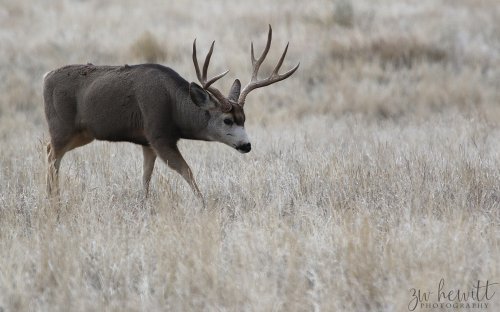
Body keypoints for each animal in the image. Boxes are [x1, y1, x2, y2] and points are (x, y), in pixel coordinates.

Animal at [43, 25, 298, 204]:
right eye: (227, 120)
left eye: (244, 119)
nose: (247, 145)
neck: (175, 108)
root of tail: (46, 77)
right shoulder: (158, 134)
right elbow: (187, 171)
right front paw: (203, 204)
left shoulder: (147, 142)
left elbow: (146, 177)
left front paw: (144, 205)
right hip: (62, 126)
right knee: (53, 155)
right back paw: (53, 202)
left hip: (83, 133)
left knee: (48, 149)